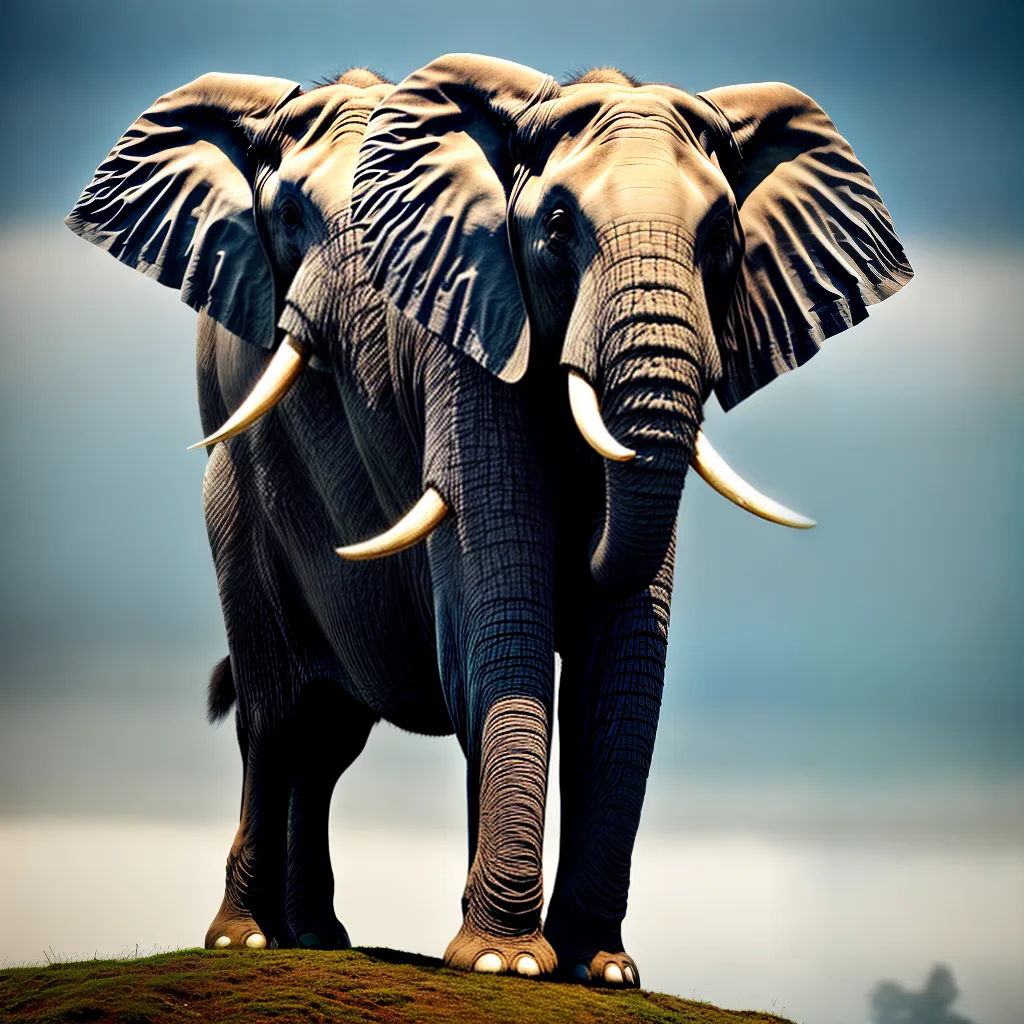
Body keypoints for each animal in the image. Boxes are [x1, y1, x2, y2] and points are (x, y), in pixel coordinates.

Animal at [65, 52, 911, 986]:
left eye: (724, 235)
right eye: (557, 228)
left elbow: (621, 662)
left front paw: (597, 972)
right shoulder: (465, 346)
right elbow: (497, 628)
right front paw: (506, 964)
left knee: (329, 737)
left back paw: (317, 937)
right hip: (235, 494)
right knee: (276, 716)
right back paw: (246, 940)